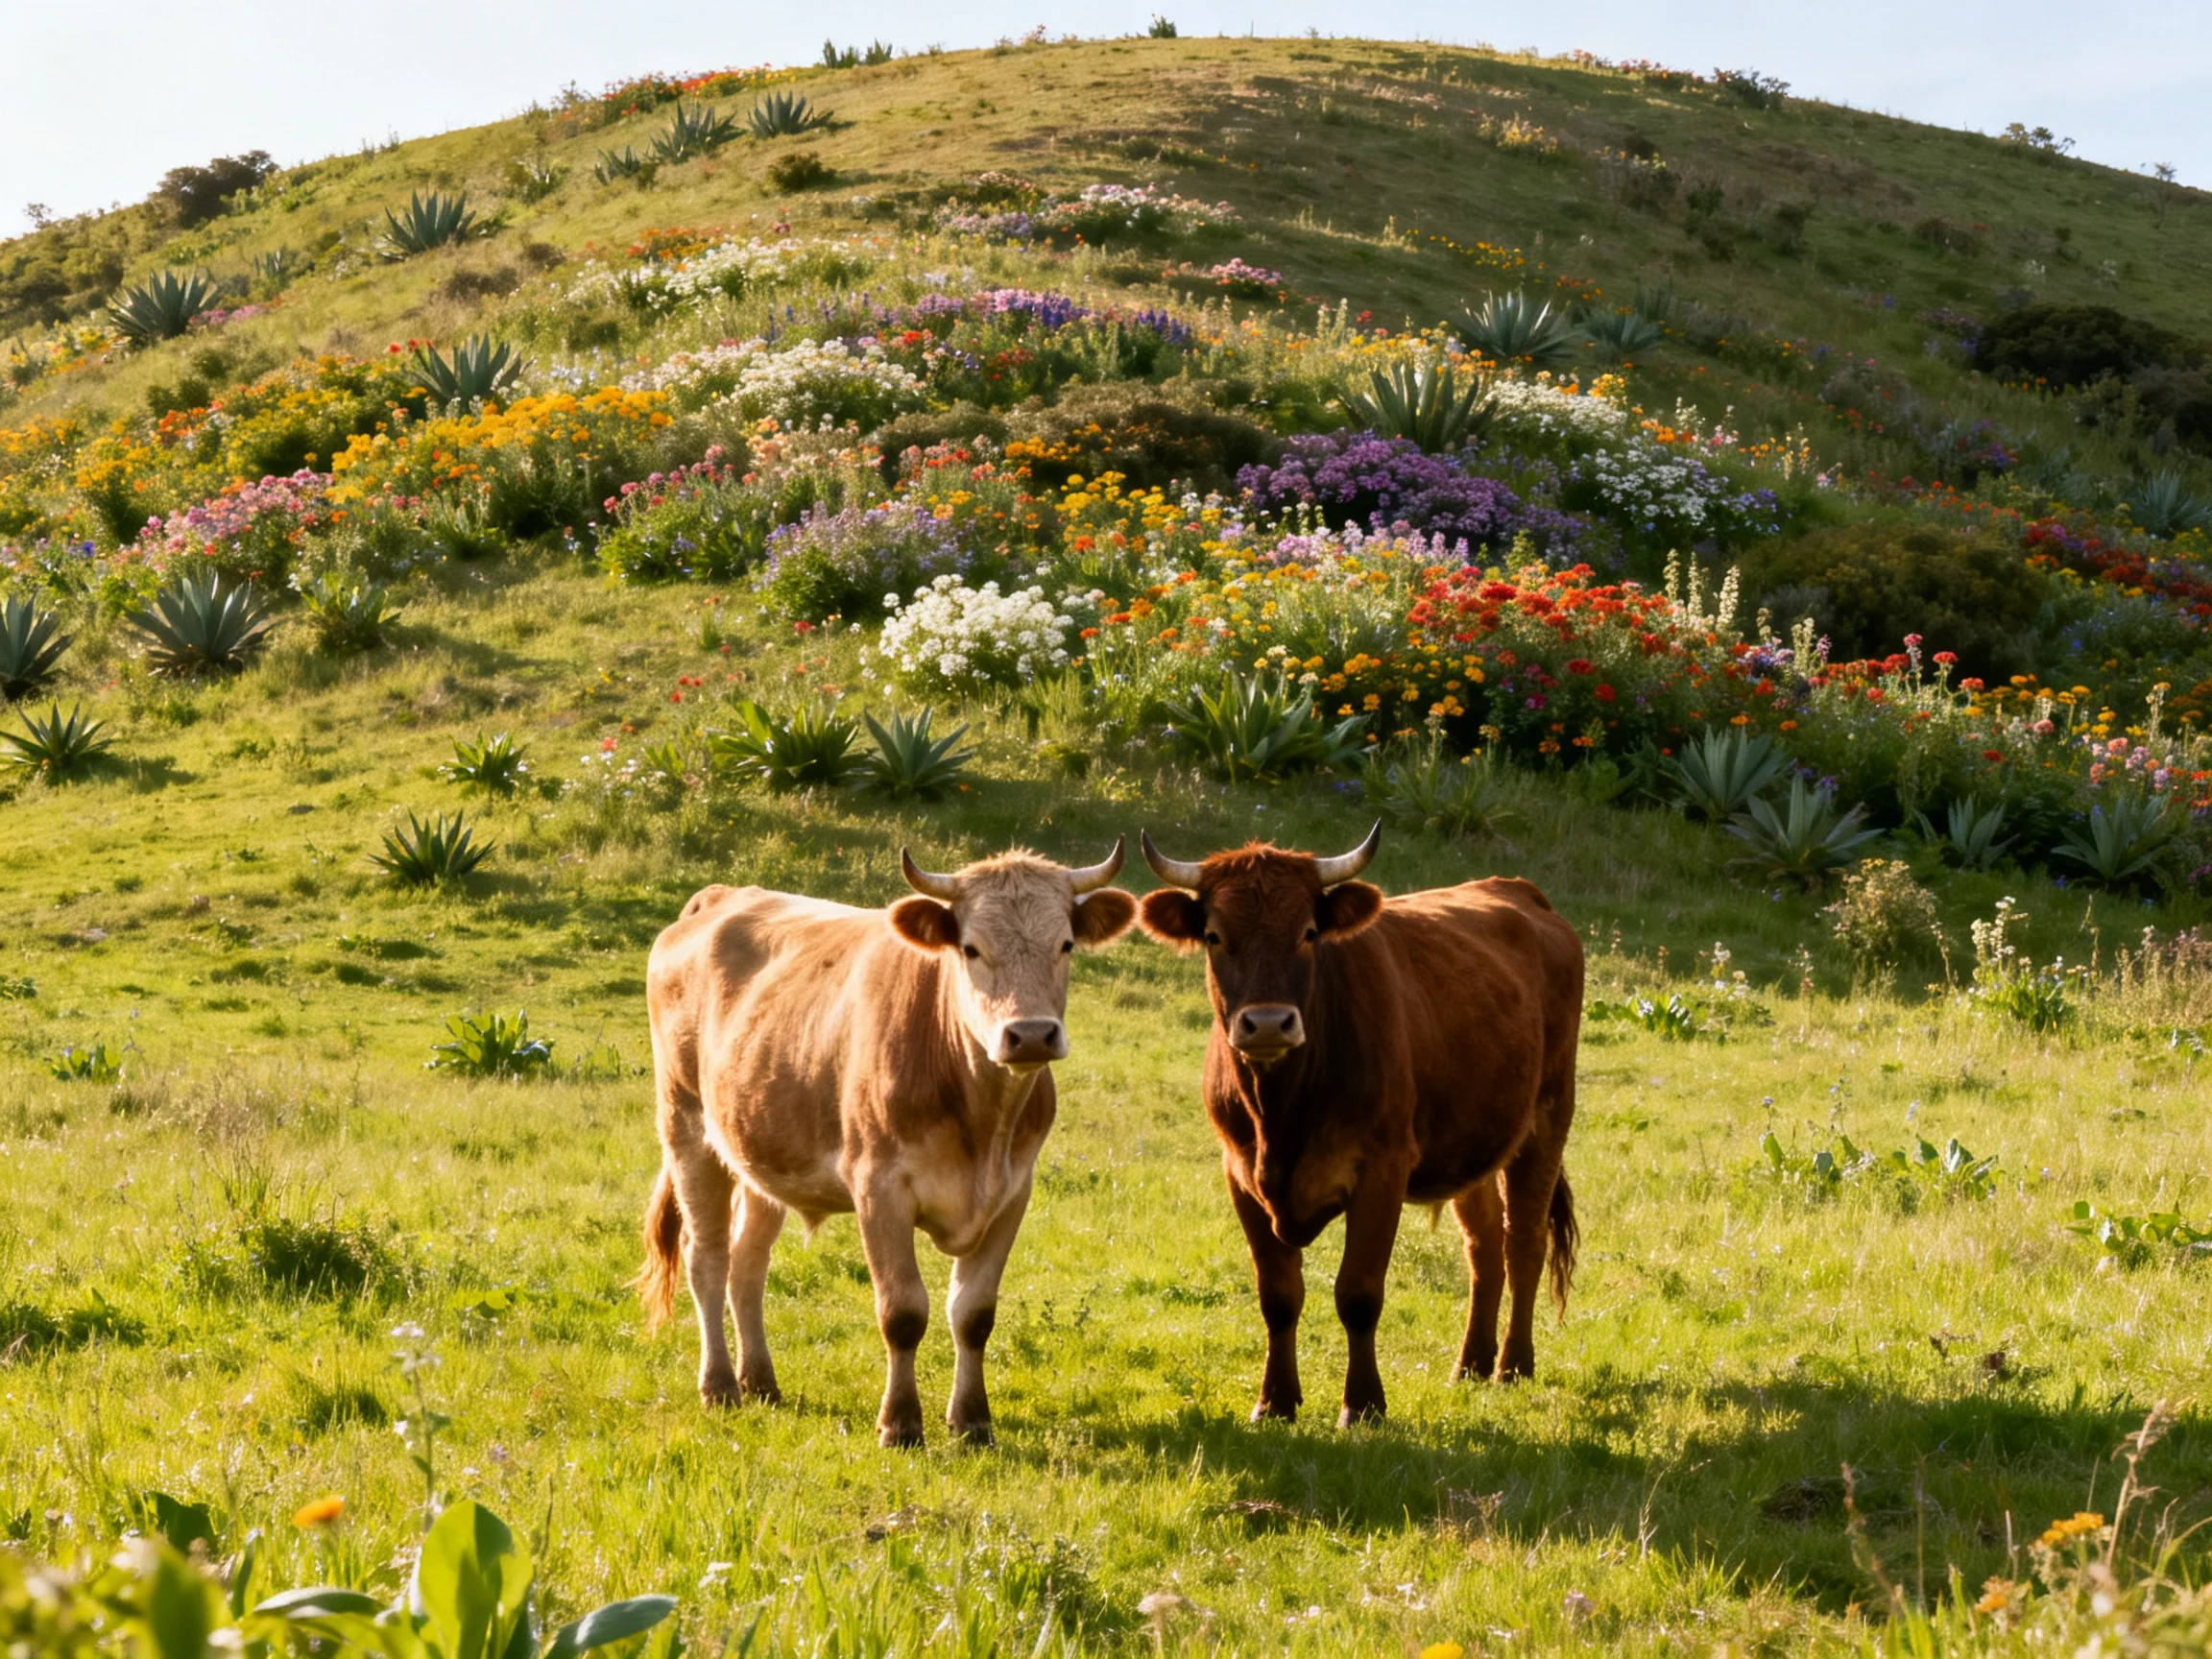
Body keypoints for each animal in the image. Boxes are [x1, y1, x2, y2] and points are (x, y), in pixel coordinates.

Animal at [636, 840, 1137, 1446]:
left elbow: (974, 1313)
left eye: (1065, 944)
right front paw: (900, 1424)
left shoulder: (1014, 1192)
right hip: (686, 1127)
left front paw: (972, 1421)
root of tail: (719, 896)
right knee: (706, 1258)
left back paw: (761, 1382)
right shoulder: (879, 1188)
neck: (980, 1117)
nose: (1031, 1035)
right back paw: (720, 1387)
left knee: (747, 1264)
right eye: (971, 949)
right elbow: (902, 1312)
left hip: (760, 1151)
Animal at [1136, 822, 1581, 1426]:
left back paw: (1513, 1365)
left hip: (1548, 1117)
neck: (1281, 1114)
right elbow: (1278, 1296)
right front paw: (1274, 1402)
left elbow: (1359, 1293)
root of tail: (1519, 891)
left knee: (1525, 1241)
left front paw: (1364, 1404)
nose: (1268, 1023)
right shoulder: (1240, 1175)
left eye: (1308, 933)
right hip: (1474, 1141)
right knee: (1485, 1244)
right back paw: (1470, 1364)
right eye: (1213, 935)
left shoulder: (1382, 1170)